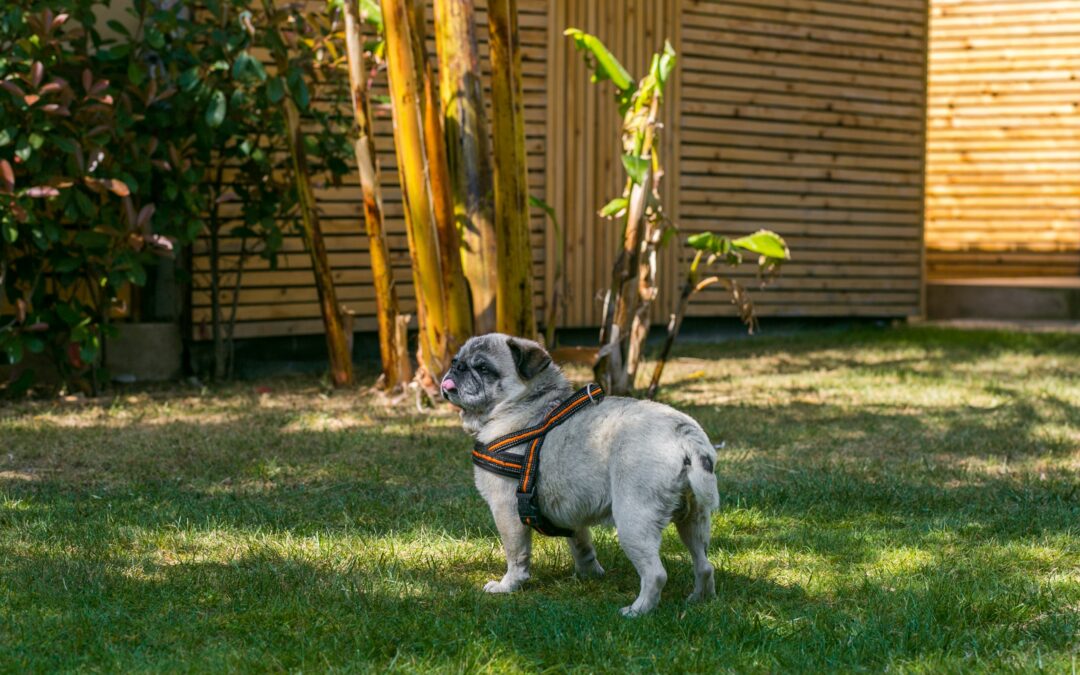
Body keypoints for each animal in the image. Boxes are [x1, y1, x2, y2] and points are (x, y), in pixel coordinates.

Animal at [438, 332, 717, 617]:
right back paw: (699, 599)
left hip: (634, 522)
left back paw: (638, 610)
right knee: (704, 564)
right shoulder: (571, 513)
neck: (526, 404)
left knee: (656, 574)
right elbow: (582, 546)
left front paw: (509, 585)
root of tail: (683, 434)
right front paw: (589, 574)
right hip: (693, 518)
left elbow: (516, 554)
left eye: (483, 368)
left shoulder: (506, 510)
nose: (457, 366)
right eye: (457, 359)